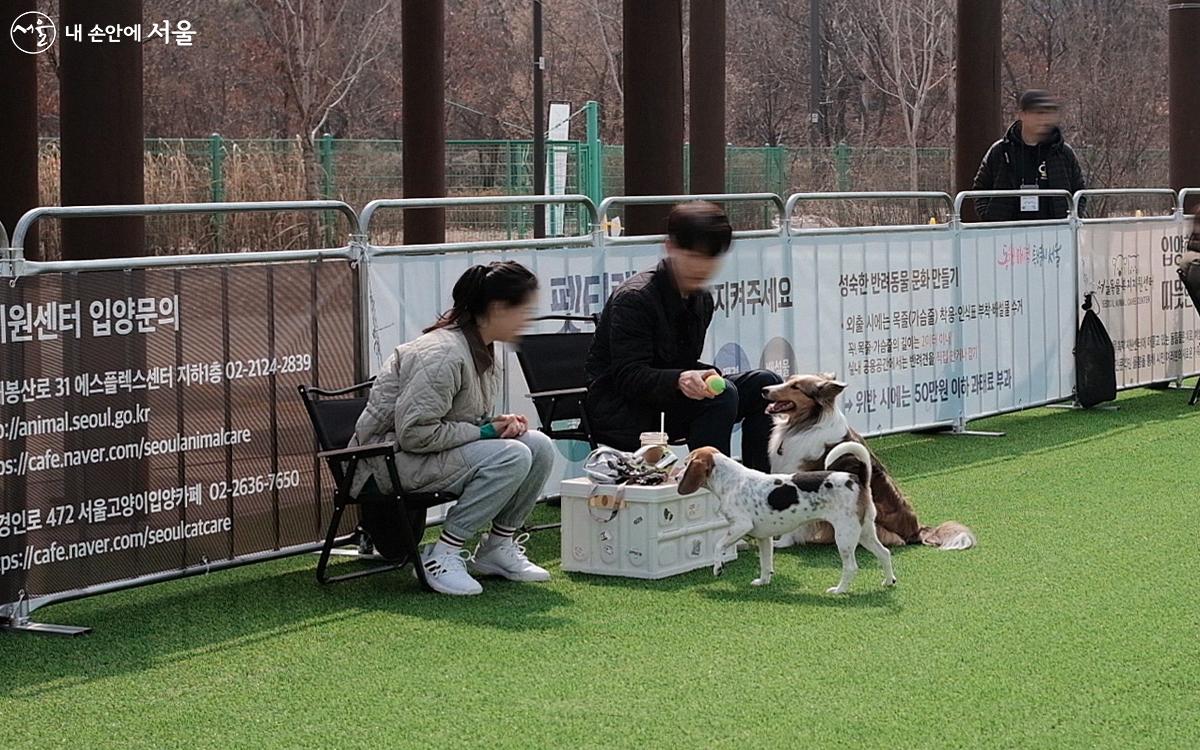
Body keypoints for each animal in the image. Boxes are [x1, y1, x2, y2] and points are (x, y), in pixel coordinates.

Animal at [681, 441, 897, 592]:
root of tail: (858, 478)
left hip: (844, 537)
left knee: (851, 567)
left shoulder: (740, 526)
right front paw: (763, 581)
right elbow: (765, 563)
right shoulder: (764, 538)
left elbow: (718, 545)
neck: (731, 480)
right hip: (864, 533)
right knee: (884, 553)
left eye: (685, 463)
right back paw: (888, 581)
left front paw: (718, 568)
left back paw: (839, 590)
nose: (675, 476)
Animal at [768, 374, 974, 549]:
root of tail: (916, 530)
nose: (764, 390)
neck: (807, 422)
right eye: (788, 380)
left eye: (795, 387)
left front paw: (783, 542)